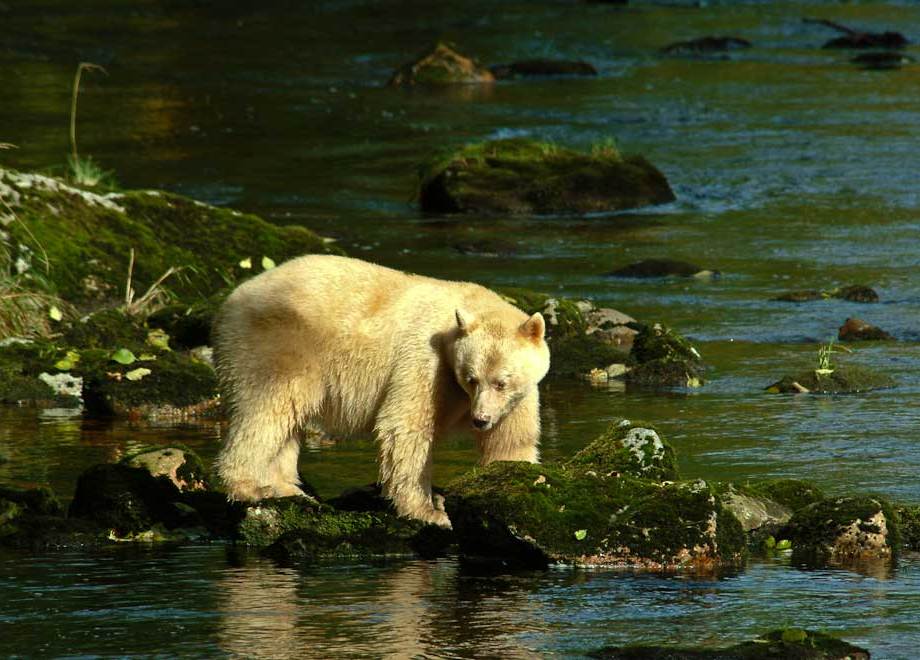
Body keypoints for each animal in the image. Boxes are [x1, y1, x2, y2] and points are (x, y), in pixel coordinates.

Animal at [213, 254, 550, 527]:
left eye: (501, 381)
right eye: (471, 378)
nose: (480, 419)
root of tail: (232, 298)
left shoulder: (515, 400)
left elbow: (511, 442)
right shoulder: (427, 360)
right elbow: (407, 426)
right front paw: (431, 512)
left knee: (287, 422)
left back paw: (287, 488)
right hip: (278, 342)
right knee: (267, 408)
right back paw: (251, 487)